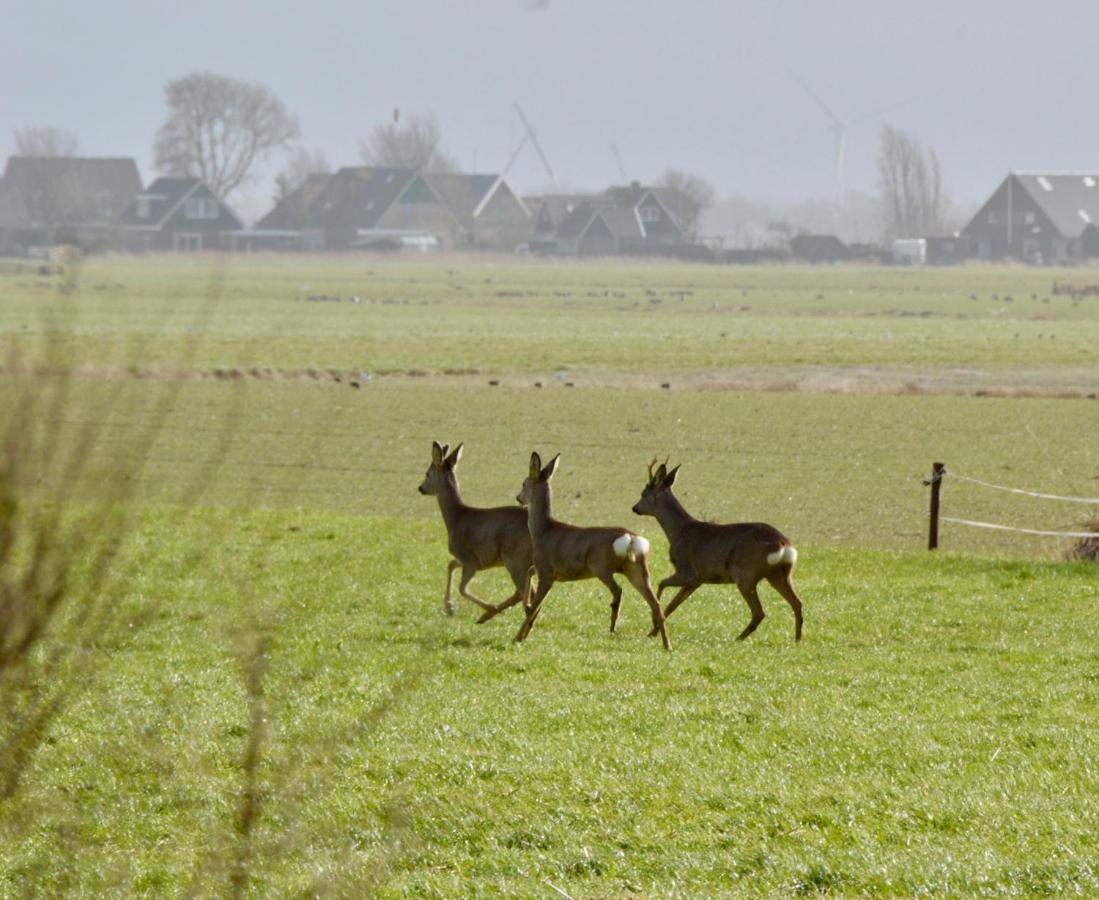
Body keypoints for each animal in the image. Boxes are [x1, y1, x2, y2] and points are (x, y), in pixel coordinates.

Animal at [415, 441, 531, 619]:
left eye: (427, 473)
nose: (421, 488)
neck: (456, 517)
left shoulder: (469, 558)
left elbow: (462, 589)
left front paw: (489, 606)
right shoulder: (468, 559)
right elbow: (450, 565)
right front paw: (449, 607)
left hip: (516, 558)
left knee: (524, 590)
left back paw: (493, 612)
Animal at [512, 454, 668, 650]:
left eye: (524, 483)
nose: (518, 497)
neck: (542, 531)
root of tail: (631, 539)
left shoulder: (546, 571)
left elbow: (535, 607)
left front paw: (518, 637)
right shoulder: (548, 570)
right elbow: (529, 573)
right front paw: (525, 611)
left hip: (600, 566)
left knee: (618, 590)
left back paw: (613, 625)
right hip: (637, 569)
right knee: (656, 604)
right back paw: (667, 645)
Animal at [633, 461, 804, 646]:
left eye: (643, 494)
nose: (635, 508)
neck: (680, 532)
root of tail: (783, 545)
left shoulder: (687, 572)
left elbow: (661, 584)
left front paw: (653, 622)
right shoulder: (697, 580)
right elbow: (673, 605)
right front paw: (653, 631)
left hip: (745, 574)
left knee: (759, 612)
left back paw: (738, 639)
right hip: (781, 575)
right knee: (797, 603)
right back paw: (797, 639)